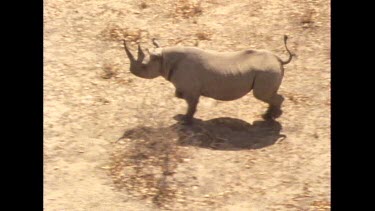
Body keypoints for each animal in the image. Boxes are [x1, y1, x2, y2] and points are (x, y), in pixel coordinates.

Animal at [123, 34, 294, 123]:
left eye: (143, 67)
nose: (132, 71)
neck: (164, 59)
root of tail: (279, 60)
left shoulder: (191, 90)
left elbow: (191, 104)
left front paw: (185, 121)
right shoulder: (188, 87)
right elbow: (181, 96)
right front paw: (181, 114)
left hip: (267, 72)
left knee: (261, 95)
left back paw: (268, 118)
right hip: (269, 71)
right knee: (267, 95)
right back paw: (270, 115)